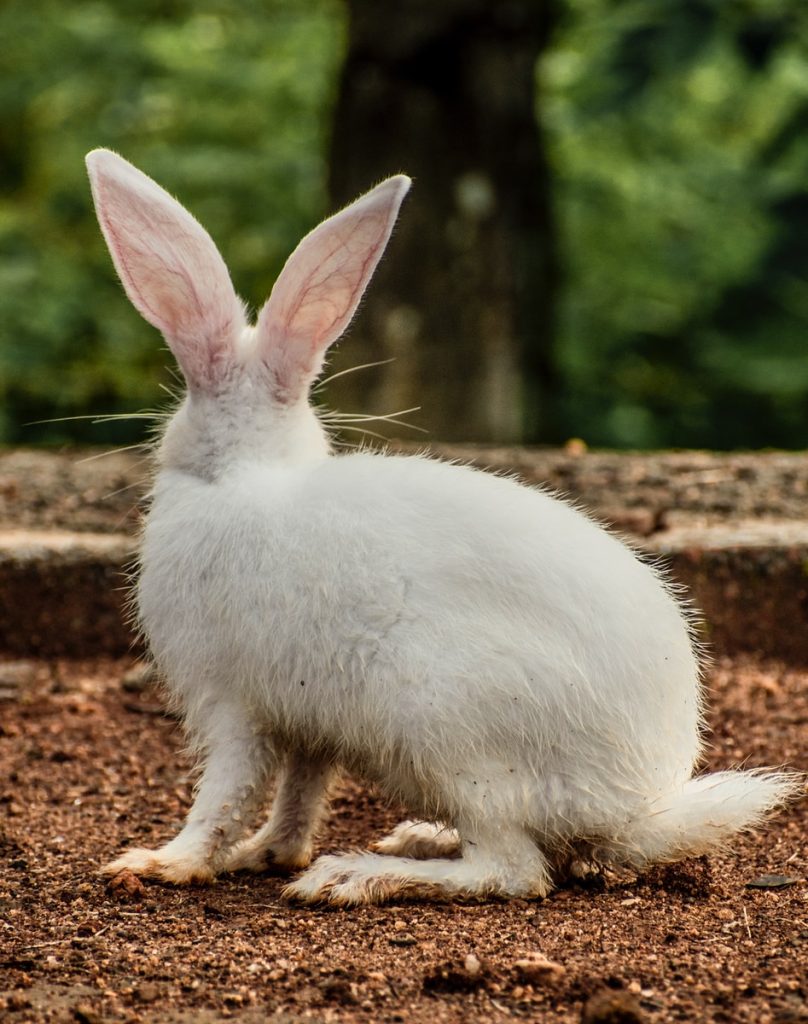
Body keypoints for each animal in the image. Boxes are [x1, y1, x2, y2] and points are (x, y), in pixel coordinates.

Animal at [87, 148, 798, 905]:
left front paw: (162, 863)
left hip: (451, 735)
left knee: (512, 870)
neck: (247, 472)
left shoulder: (233, 705)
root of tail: (633, 809)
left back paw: (358, 873)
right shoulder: (308, 725)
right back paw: (410, 838)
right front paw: (268, 853)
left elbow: (225, 792)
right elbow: (300, 791)